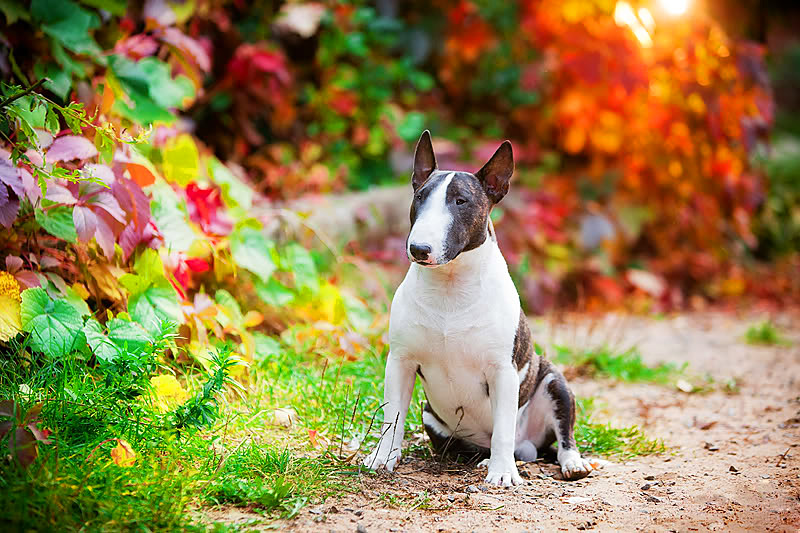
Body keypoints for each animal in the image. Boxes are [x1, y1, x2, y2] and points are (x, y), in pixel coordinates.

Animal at [364, 131, 592, 484]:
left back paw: (568, 463)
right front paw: (382, 457)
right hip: (431, 415)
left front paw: (503, 474)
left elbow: (503, 427)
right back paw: (481, 460)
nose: (419, 249)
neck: (451, 285)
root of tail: (528, 447)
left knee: (560, 436)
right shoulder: (400, 362)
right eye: (420, 197)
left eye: (461, 201)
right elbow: (393, 415)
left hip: (555, 382)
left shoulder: (503, 370)